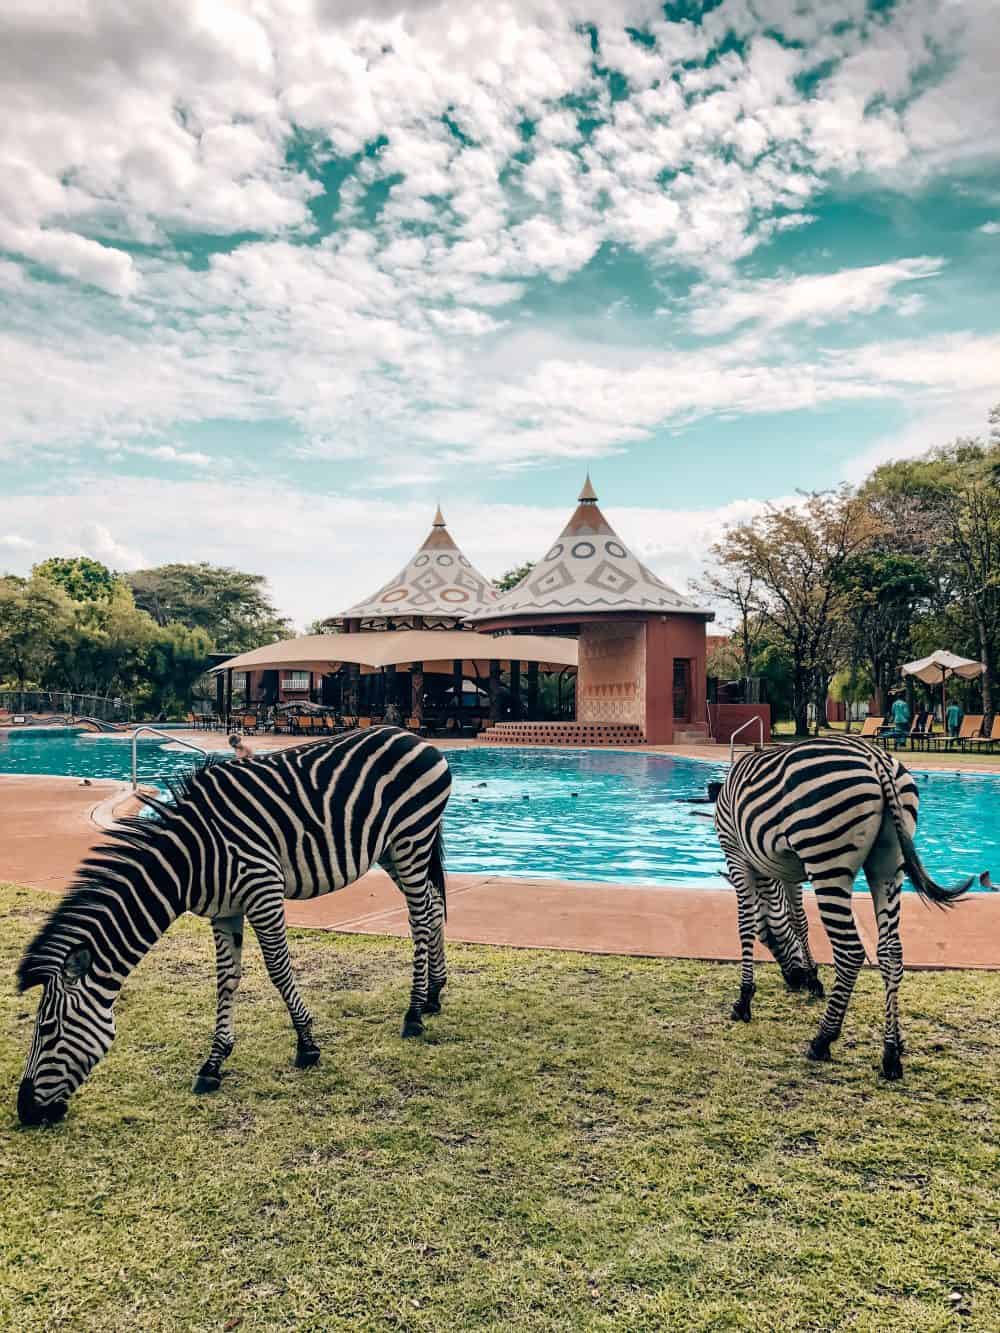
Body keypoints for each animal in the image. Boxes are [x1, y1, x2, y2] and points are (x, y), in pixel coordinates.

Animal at [15, 730, 453, 1125]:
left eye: (47, 1029)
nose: (25, 1112)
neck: (190, 862)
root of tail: (417, 738)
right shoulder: (224, 911)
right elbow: (226, 980)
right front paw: (213, 1064)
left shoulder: (263, 890)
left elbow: (278, 970)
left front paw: (307, 1045)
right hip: (392, 850)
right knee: (433, 907)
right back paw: (433, 994)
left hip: (411, 841)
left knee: (419, 915)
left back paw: (414, 1013)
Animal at [714, 735, 981, 1077]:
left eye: (768, 941)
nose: (794, 982)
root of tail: (874, 756)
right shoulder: (787, 870)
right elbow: (798, 919)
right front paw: (812, 977)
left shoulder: (737, 856)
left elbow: (747, 925)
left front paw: (744, 1000)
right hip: (888, 865)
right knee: (890, 952)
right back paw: (892, 1052)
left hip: (827, 859)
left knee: (851, 952)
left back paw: (823, 1039)